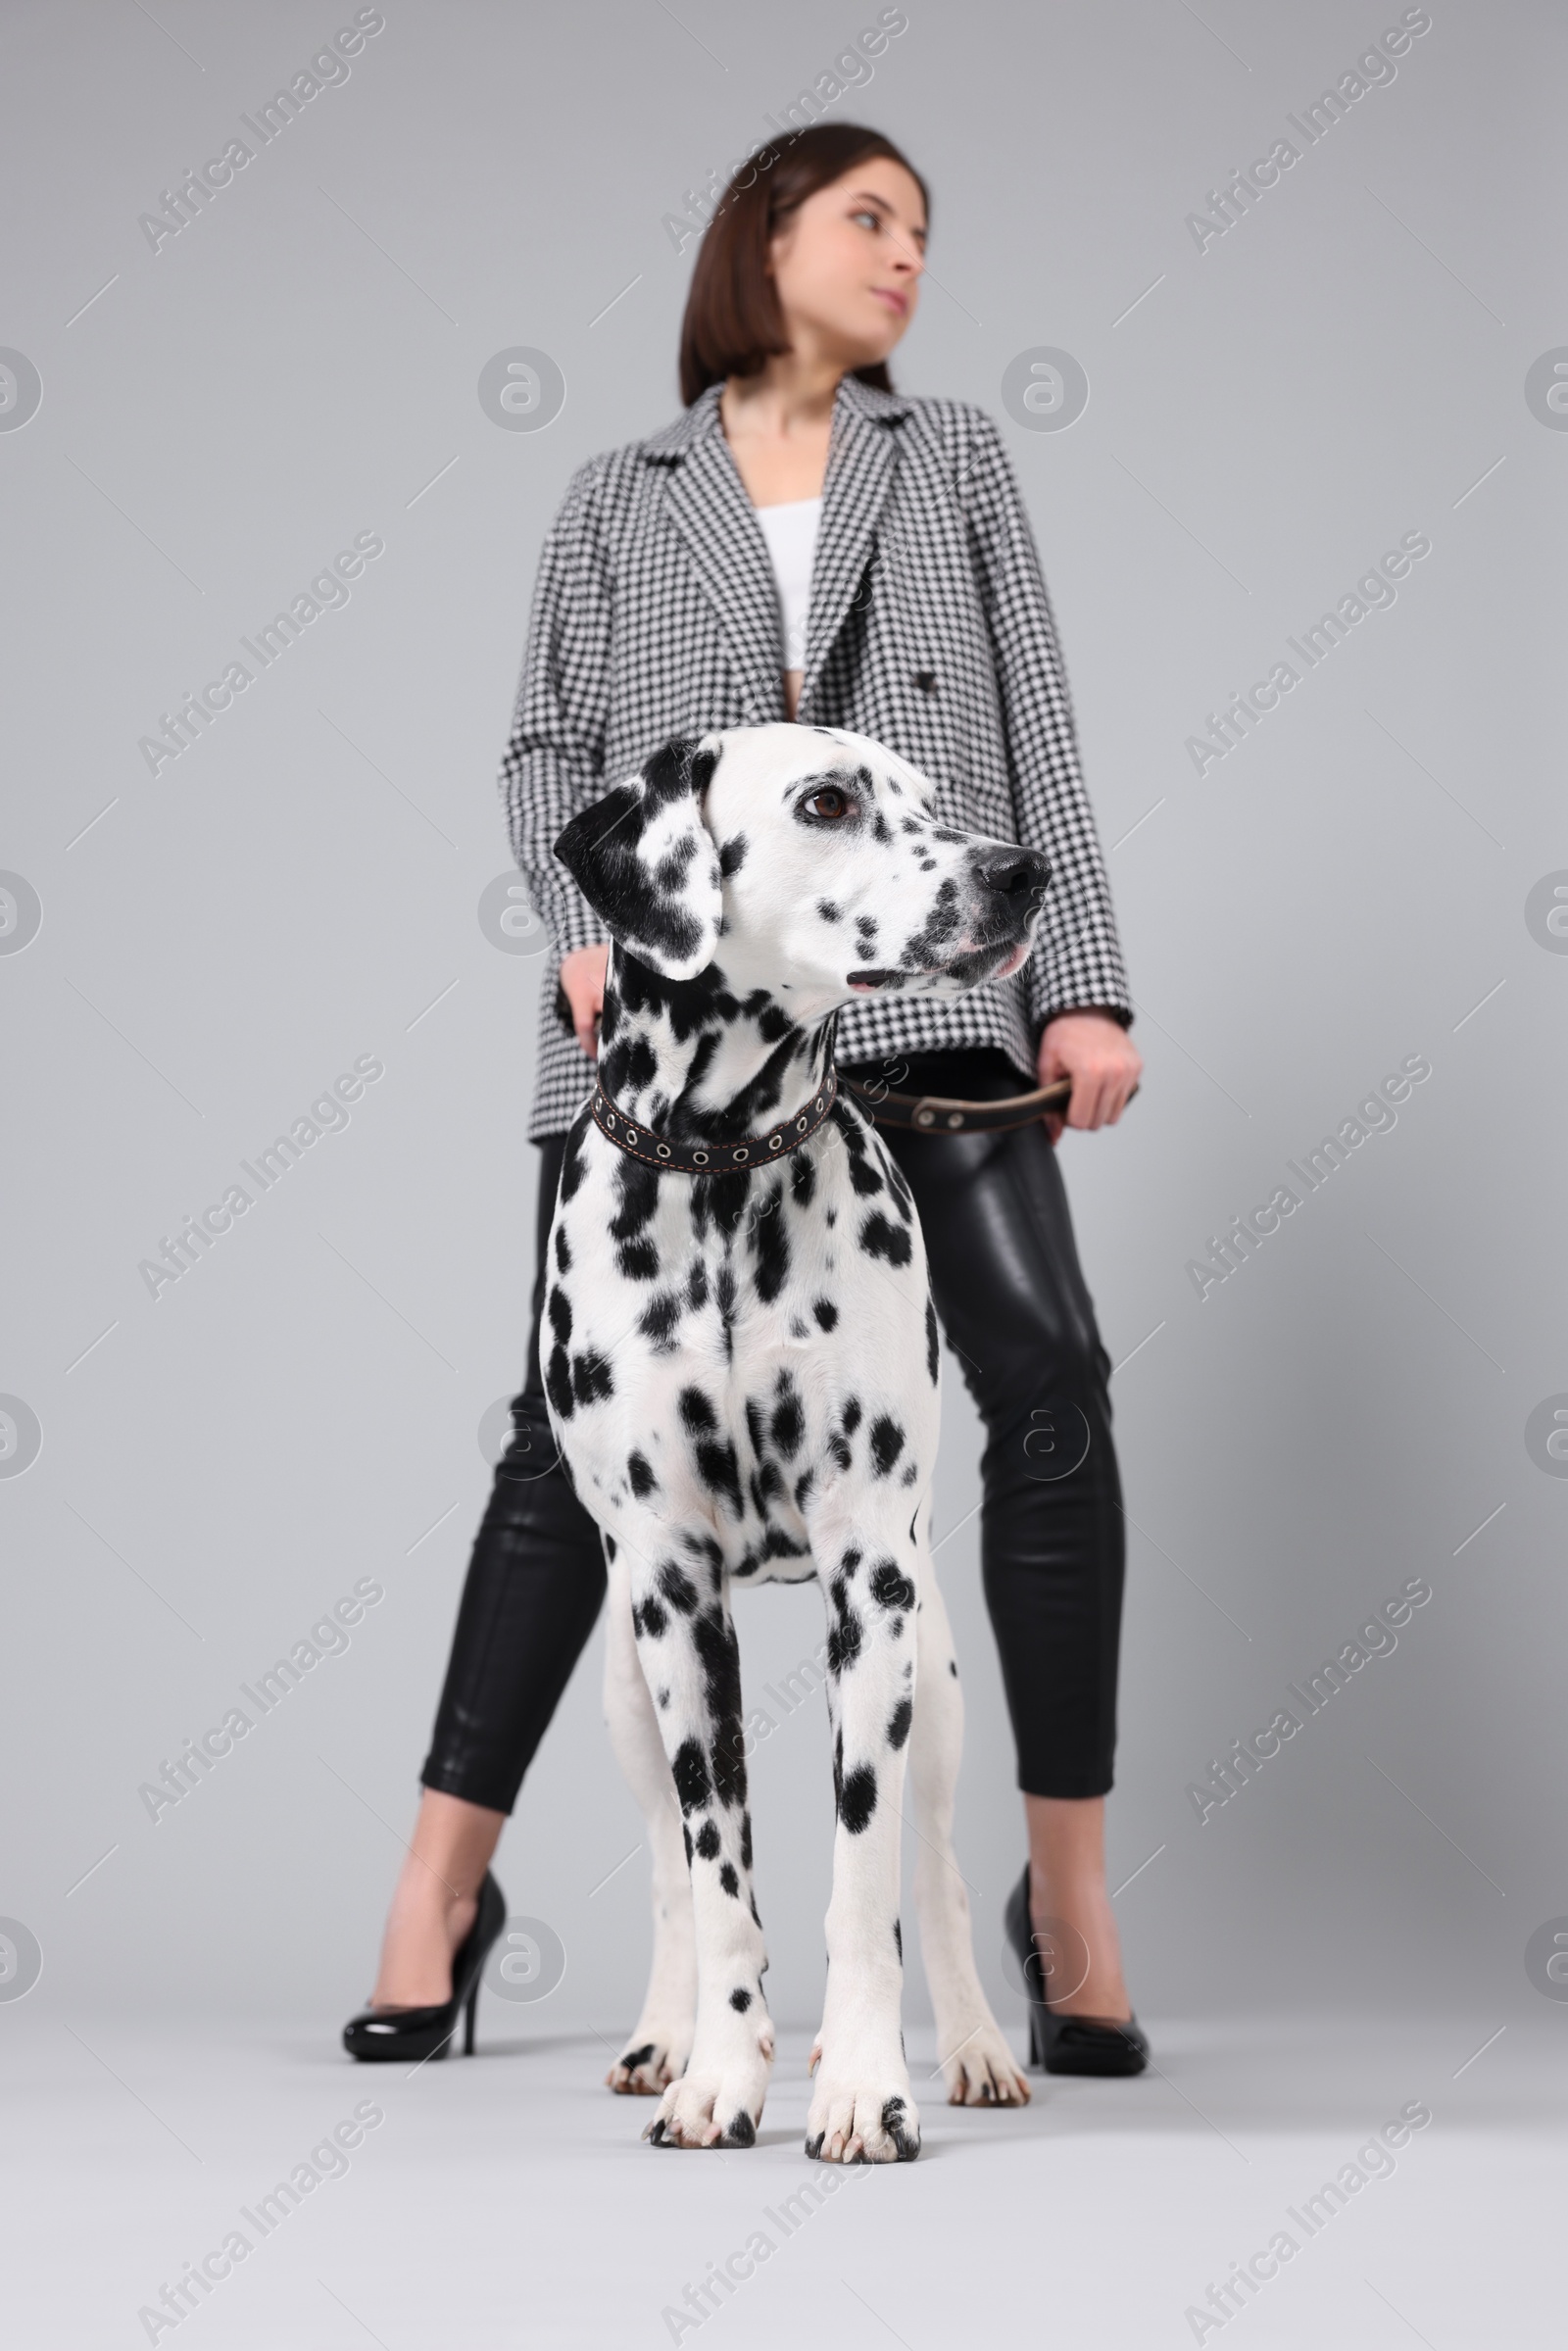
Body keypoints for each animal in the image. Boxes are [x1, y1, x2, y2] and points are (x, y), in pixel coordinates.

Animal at [545, 723, 1048, 2153]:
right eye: (826, 802)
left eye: (936, 797)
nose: (1019, 871)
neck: (721, 1175)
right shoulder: (671, 1589)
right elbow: (719, 1877)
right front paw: (721, 2071)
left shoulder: (868, 1581)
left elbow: (865, 1877)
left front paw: (865, 2083)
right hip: (624, 1683)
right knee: (669, 1867)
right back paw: (663, 2034)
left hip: (935, 1672)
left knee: (938, 1870)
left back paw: (977, 2048)